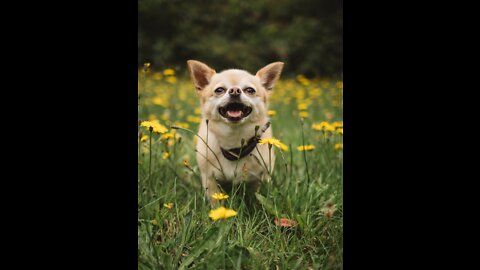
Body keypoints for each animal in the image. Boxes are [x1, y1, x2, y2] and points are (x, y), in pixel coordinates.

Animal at [187, 60, 284, 204]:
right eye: (219, 90)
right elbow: (216, 202)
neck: (234, 141)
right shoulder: (209, 179)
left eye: (250, 90)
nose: (234, 90)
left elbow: (258, 197)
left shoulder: (262, 177)